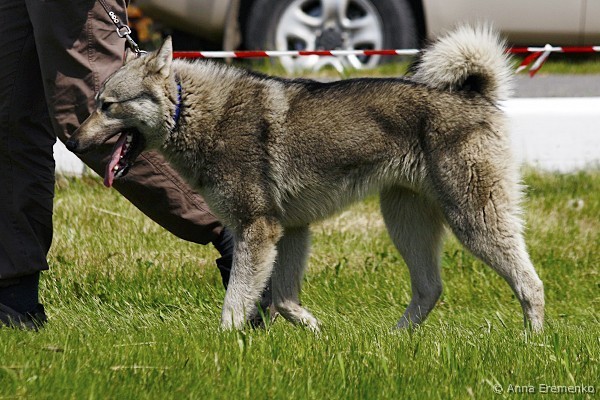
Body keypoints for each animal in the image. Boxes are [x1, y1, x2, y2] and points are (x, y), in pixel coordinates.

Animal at [67, 25, 544, 332]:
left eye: (108, 105)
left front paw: (223, 346)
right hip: (405, 221)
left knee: (531, 284)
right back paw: (391, 342)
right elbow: (281, 298)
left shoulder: (259, 229)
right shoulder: (290, 231)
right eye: (96, 102)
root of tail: (475, 94)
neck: (193, 110)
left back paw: (532, 343)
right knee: (430, 289)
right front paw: (312, 329)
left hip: (475, 221)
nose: (72, 139)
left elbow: (235, 303)